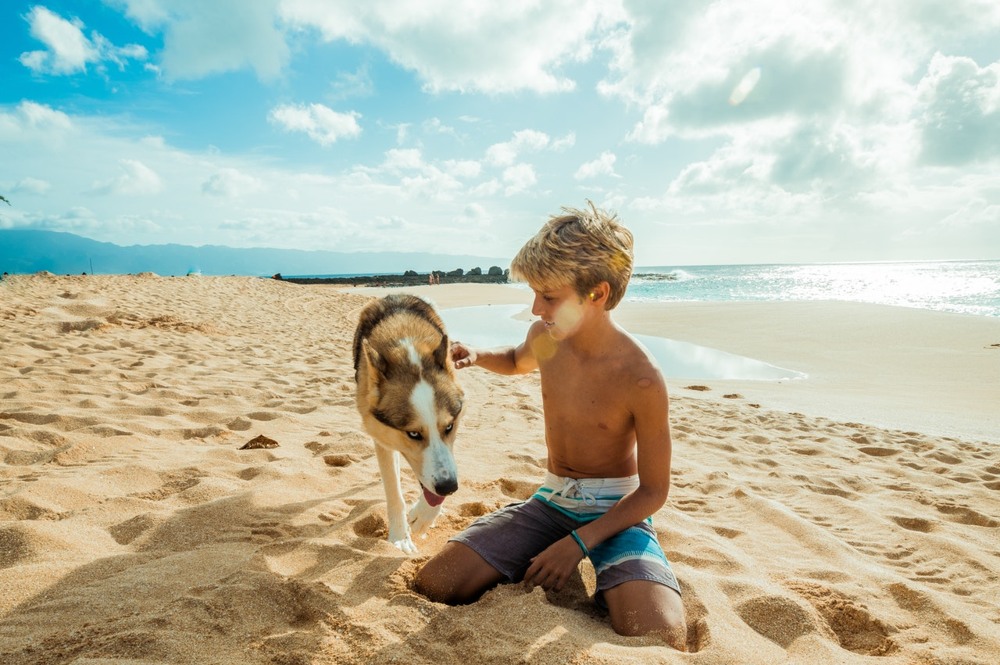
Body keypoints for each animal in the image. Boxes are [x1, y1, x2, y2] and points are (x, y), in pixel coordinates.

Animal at [352, 294, 464, 548]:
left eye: (449, 427)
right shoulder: (381, 437)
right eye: (413, 434)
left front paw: (424, 517)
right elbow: (394, 491)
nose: (450, 487)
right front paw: (399, 537)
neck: (407, 349)